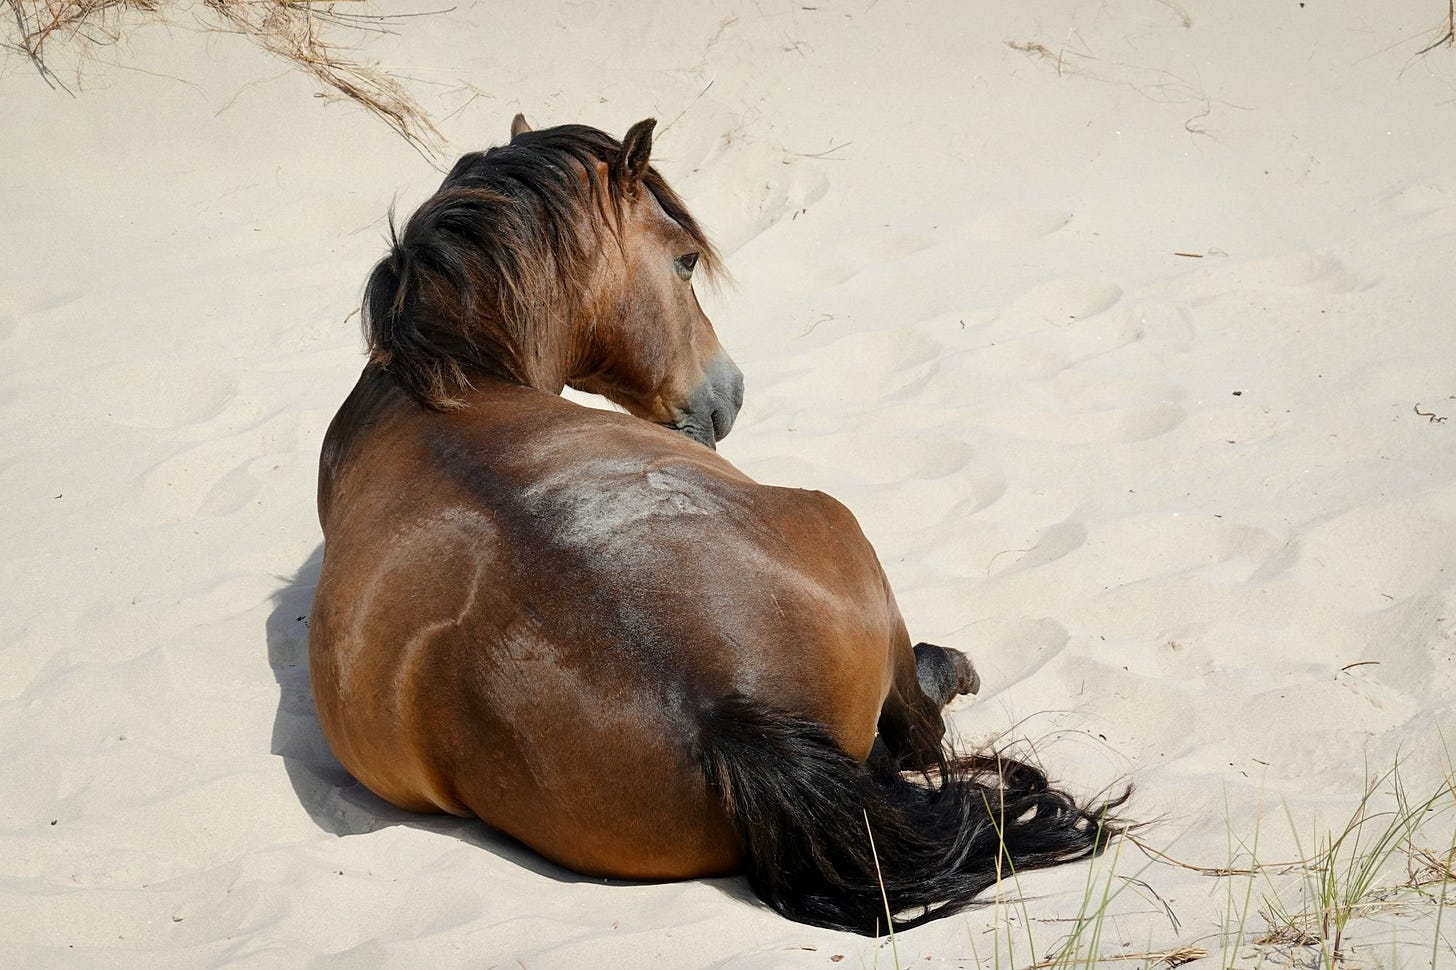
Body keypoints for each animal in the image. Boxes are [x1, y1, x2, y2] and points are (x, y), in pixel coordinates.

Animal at [309, 115, 1126, 935]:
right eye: (685, 259)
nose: (728, 394)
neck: (446, 384)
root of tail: (722, 711)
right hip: (845, 527)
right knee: (917, 730)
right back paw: (948, 669)